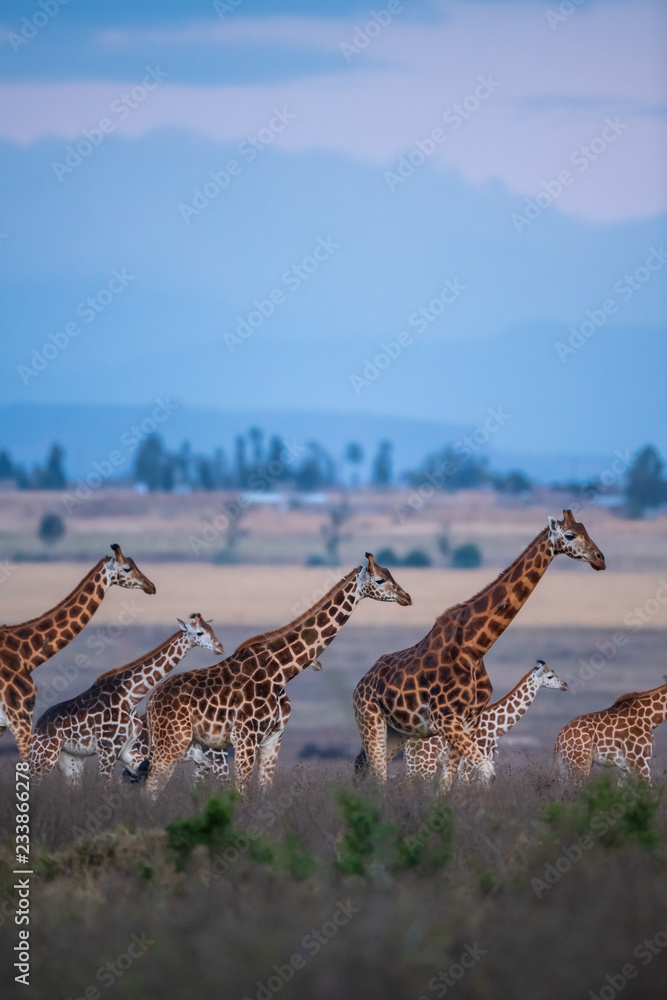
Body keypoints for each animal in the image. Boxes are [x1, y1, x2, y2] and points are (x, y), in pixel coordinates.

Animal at [29, 614, 224, 784]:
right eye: (199, 632)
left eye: (212, 629)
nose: (220, 647)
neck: (131, 697)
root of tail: (37, 726)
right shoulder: (107, 749)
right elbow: (106, 786)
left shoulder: (128, 750)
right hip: (45, 757)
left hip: (70, 760)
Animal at [144, 554, 412, 797]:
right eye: (380, 579)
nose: (406, 597)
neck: (281, 673)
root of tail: (150, 702)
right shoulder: (245, 737)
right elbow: (241, 793)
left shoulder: (273, 738)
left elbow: (265, 791)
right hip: (174, 739)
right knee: (150, 787)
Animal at [357, 659, 568, 781]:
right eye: (550, 676)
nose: (565, 685)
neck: (496, 728)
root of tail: (409, 744)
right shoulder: (467, 765)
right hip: (423, 766)